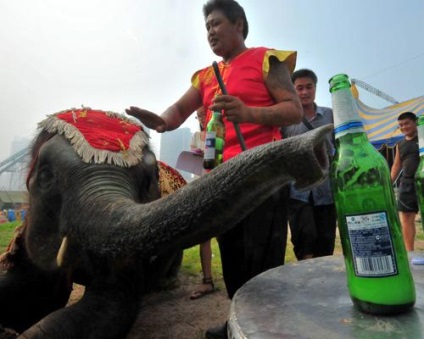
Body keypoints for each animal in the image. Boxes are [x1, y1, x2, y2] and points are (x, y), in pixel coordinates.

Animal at [0, 107, 332, 338]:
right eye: (46, 177)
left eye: (148, 180)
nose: (316, 147)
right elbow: (36, 289)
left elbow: (110, 307)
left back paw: (163, 284)